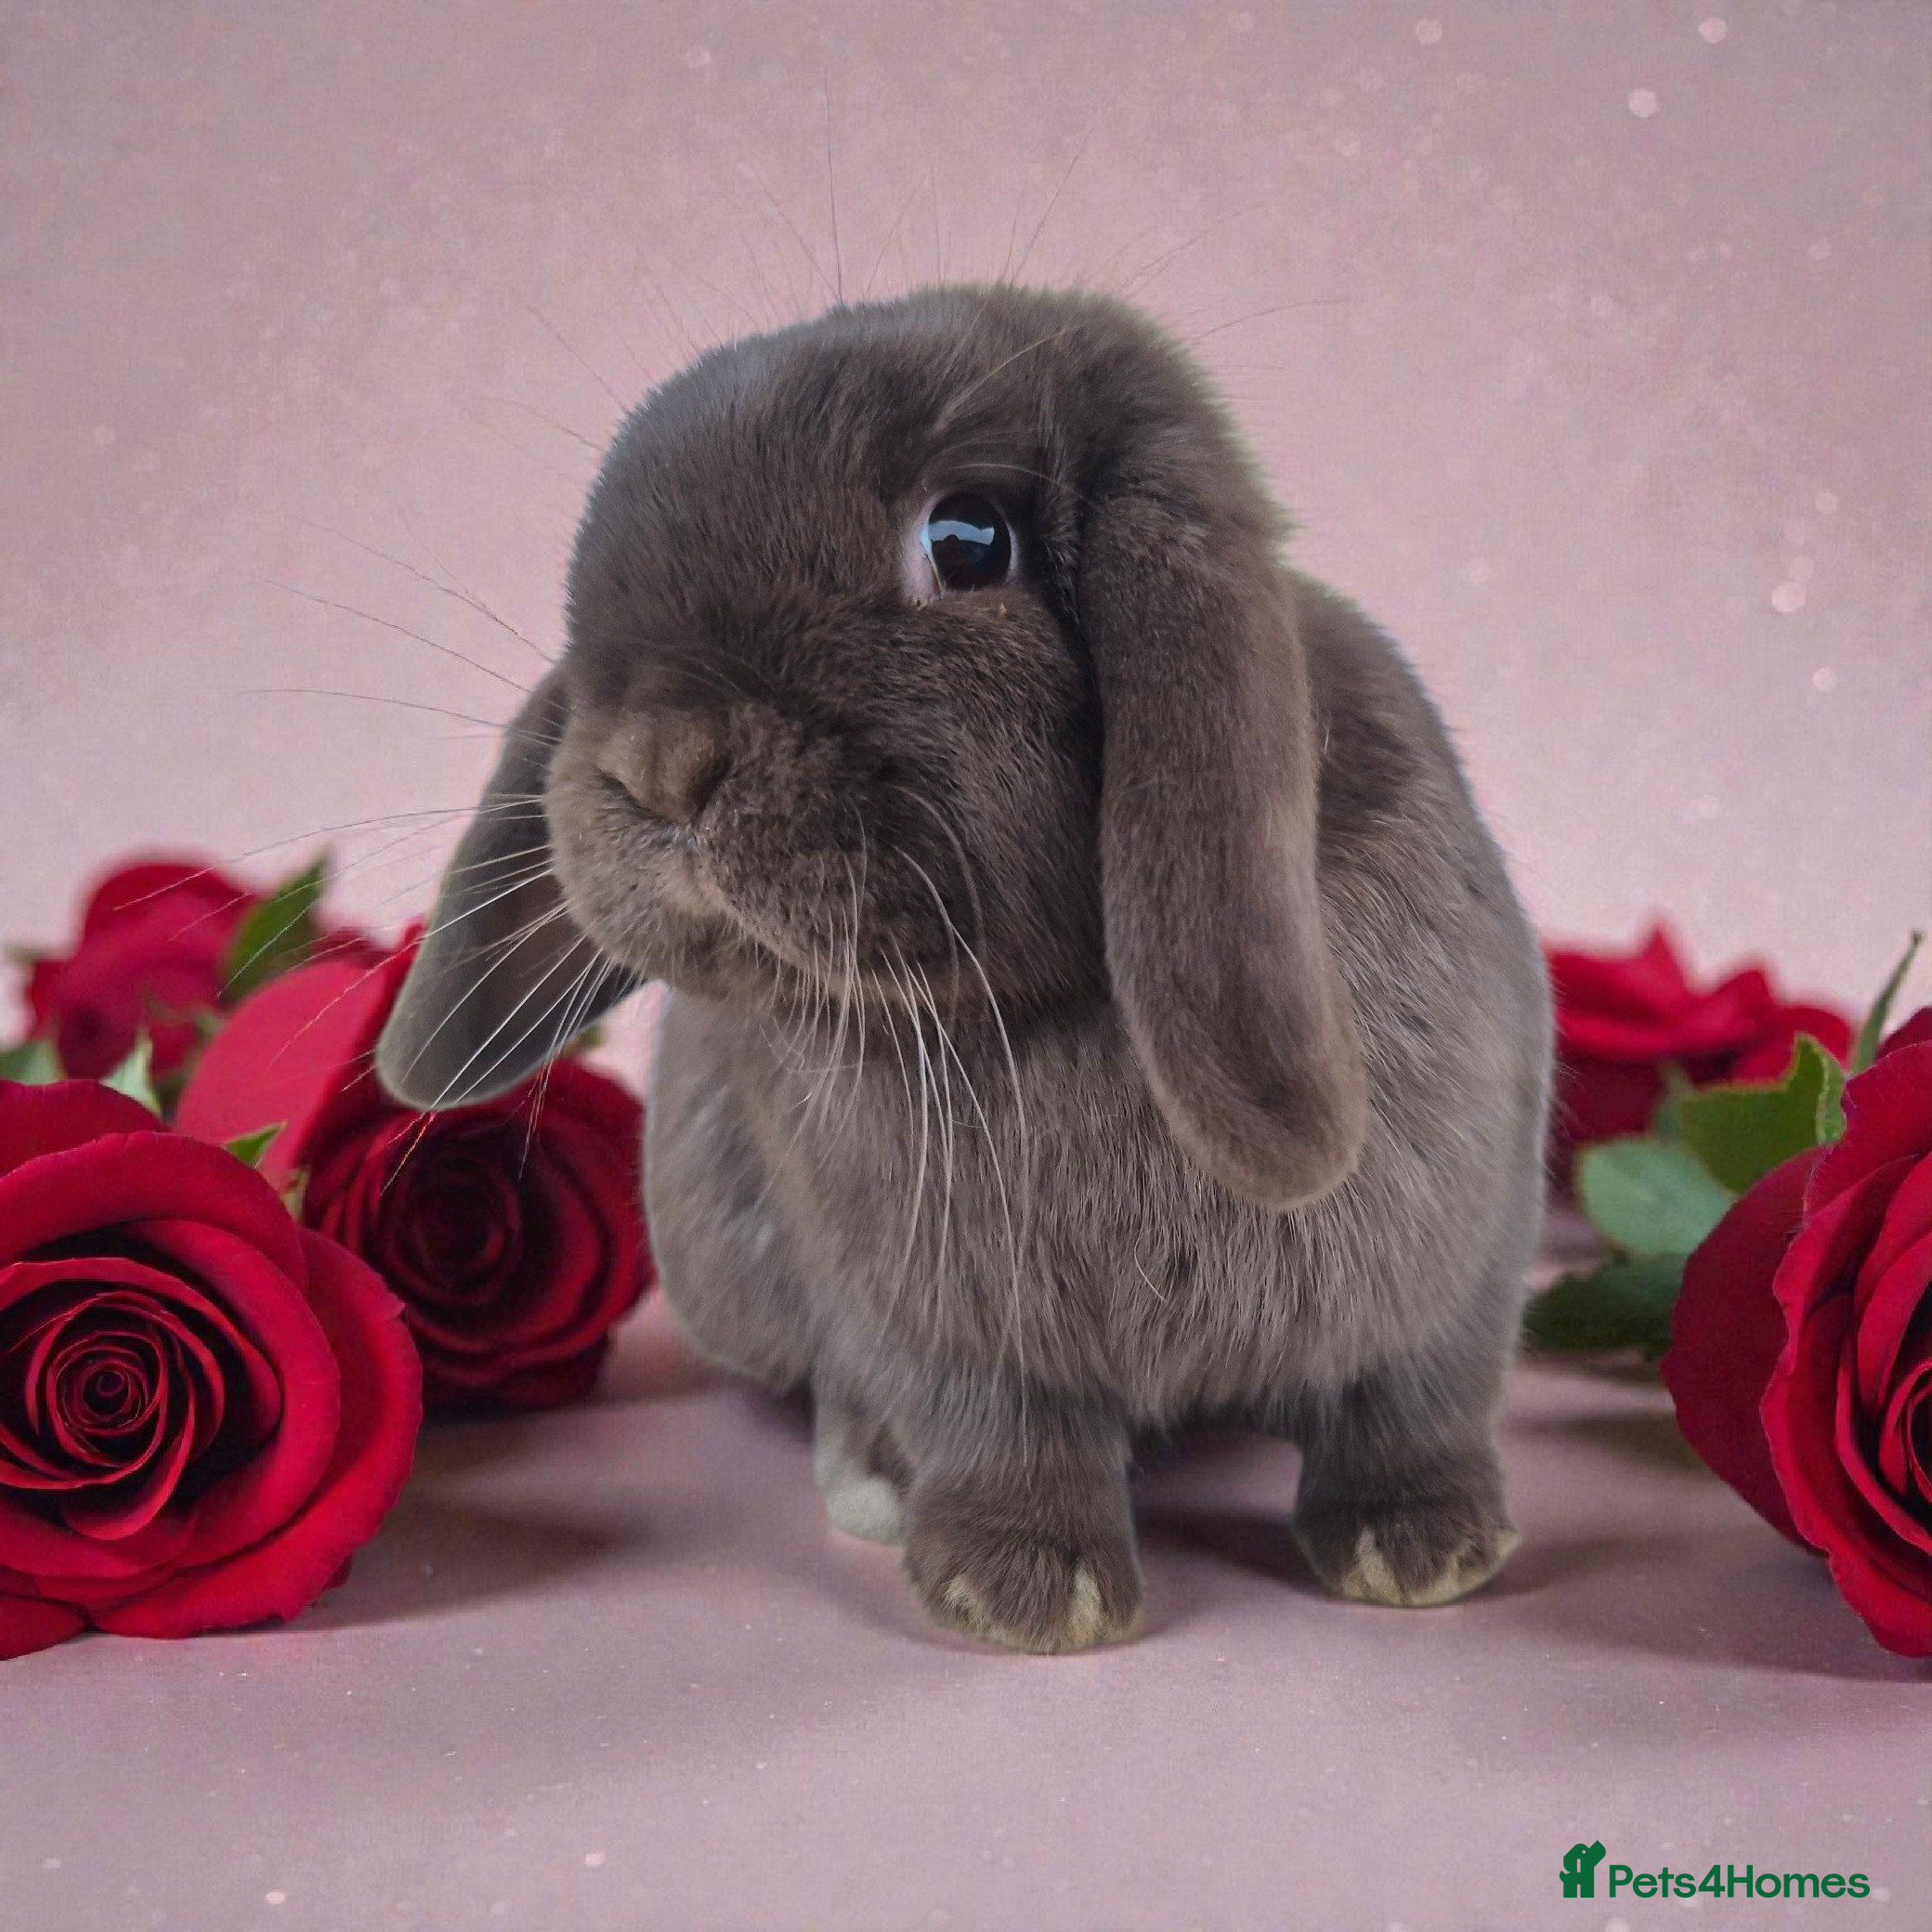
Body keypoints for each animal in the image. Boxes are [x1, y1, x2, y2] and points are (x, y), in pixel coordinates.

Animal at [375, 282, 1553, 1654]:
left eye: (969, 540)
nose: (660, 761)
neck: (1044, 1012)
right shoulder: (929, 1317)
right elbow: (994, 1429)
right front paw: (1027, 1594)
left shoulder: (1464, 1242)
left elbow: (1412, 1399)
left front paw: (1421, 1550)